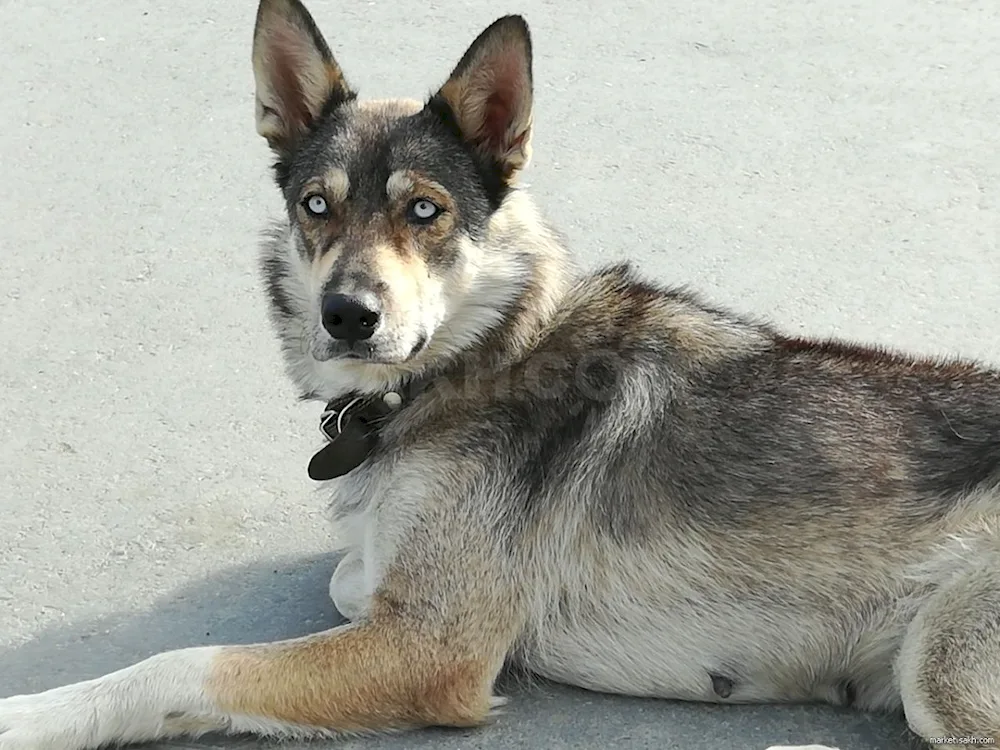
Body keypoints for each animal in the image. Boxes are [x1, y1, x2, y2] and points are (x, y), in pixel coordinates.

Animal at [1, 1, 1000, 750]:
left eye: (424, 211)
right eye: (317, 206)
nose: (347, 315)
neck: (480, 354)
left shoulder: (426, 649)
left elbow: (183, 664)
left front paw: (37, 715)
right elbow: (350, 574)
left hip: (940, 670)